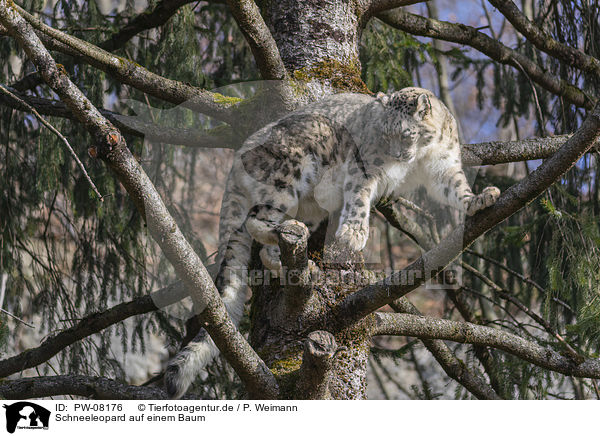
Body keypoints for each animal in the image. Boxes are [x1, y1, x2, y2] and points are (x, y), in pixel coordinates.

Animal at [164, 86, 502, 398]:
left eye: (406, 134)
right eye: (384, 134)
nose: (396, 155)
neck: (421, 158)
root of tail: (236, 160)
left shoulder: (443, 166)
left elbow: (456, 188)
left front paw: (480, 199)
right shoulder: (365, 168)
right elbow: (360, 198)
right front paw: (354, 234)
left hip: (310, 207)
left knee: (268, 249)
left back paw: (295, 265)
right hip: (289, 174)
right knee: (255, 218)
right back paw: (287, 236)